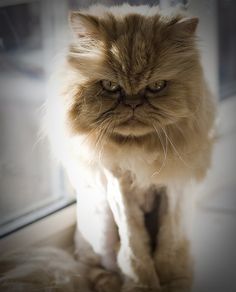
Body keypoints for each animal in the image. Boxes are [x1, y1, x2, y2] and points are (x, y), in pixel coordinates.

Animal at [44, 2, 216, 292]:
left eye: (157, 86)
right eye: (110, 86)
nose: (133, 103)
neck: (140, 149)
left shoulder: (174, 187)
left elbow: (169, 244)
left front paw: (172, 280)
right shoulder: (119, 185)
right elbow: (135, 248)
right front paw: (141, 284)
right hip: (100, 223)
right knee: (94, 262)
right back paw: (112, 282)